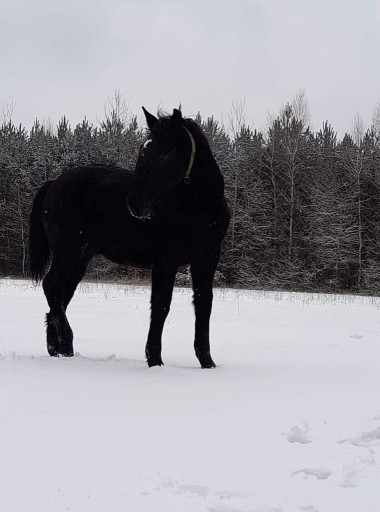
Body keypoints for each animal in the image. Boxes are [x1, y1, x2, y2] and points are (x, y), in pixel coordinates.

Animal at [29, 108, 229, 368]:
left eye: (163, 155)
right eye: (143, 152)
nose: (134, 204)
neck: (199, 207)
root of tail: (54, 183)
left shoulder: (206, 257)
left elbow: (204, 303)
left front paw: (207, 363)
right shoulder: (166, 259)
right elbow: (161, 304)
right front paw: (155, 360)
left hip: (80, 257)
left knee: (61, 293)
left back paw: (58, 349)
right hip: (68, 251)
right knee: (52, 287)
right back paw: (67, 342)